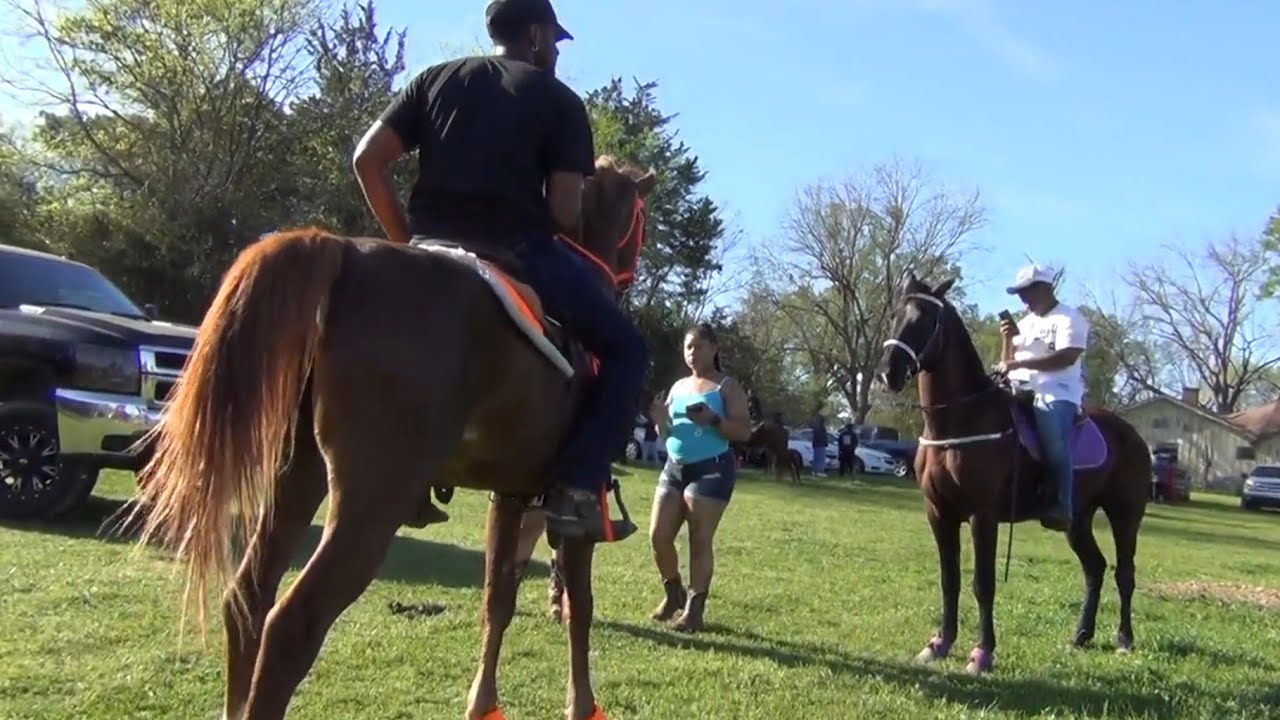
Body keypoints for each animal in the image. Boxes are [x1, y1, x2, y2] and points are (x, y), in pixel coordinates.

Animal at [128, 157, 657, 720]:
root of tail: (344, 256)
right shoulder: (577, 506)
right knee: (293, 625)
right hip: (372, 501)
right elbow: (580, 607)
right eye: (640, 220)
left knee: (248, 597)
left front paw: (482, 703)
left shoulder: (510, 496)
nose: (626, 274)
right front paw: (582, 704)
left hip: (299, 475)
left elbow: (498, 600)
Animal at [878, 273, 1150, 675]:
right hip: (1077, 519)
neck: (960, 418)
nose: (888, 373)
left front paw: (982, 652)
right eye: (897, 314)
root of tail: (1134, 435)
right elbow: (949, 580)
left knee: (1124, 573)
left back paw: (1124, 640)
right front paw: (939, 643)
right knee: (1095, 569)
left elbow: (983, 584)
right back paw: (1080, 636)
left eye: (926, 319)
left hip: (1124, 514)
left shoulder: (983, 516)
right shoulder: (939, 514)